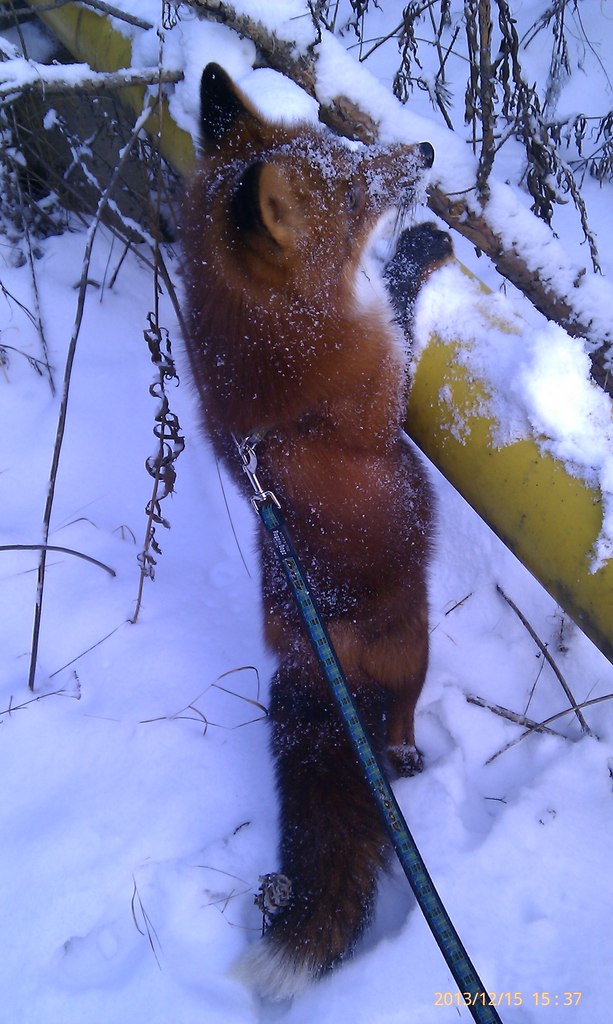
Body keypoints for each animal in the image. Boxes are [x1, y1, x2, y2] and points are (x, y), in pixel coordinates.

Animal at [181, 61, 446, 999]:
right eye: (358, 188)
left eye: (344, 140)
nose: (425, 150)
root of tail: (308, 656)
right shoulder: (384, 379)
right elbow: (400, 301)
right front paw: (417, 252)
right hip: (415, 649)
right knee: (398, 725)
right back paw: (405, 756)